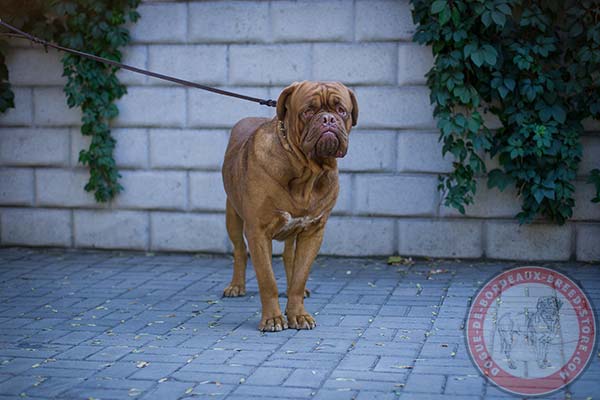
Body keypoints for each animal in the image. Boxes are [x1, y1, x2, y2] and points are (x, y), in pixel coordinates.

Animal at [223, 80, 358, 332]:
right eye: (308, 111)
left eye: (341, 110)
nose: (328, 119)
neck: (306, 172)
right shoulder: (258, 231)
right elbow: (267, 280)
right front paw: (273, 318)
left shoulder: (313, 231)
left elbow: (299, 275)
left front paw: (298, 313)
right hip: (232, 216)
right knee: (239, 250)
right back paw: (236, 286)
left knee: (289, 257)